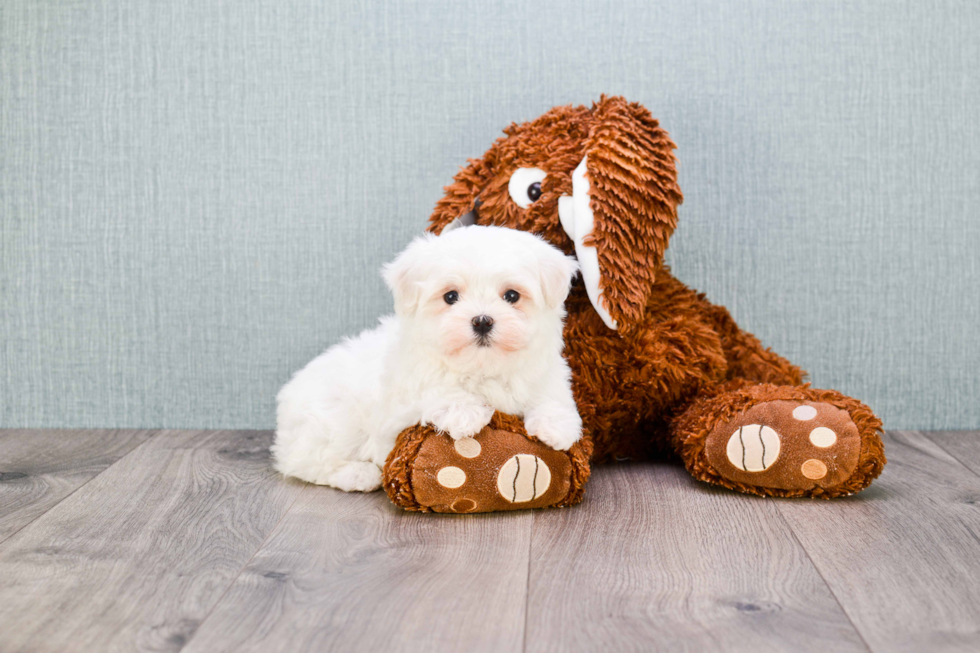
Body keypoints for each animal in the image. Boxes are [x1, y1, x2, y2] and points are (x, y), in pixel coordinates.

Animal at [272, 224, 580, 488]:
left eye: (512, 296)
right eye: (451, 296)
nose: (482, 321)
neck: (482, 370)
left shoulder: (545, 372)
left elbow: (552, 395)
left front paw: (557, 425)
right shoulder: (400, 402)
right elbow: (434, 391)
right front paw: (464, 413)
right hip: (334, 421)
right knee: (306, 462)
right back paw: (358, 474)